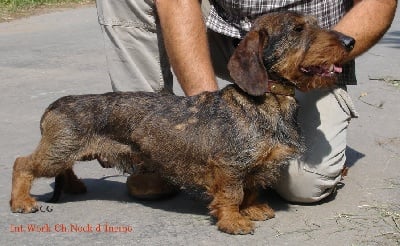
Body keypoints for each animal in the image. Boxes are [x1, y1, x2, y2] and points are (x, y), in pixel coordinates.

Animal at [9, 12, 354, 234]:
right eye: (297, 29)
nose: (350, 41)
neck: (267, 100)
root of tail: (56, 104)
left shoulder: (254, 166)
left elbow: (252, 189)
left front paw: (253, 208)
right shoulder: (229, 166)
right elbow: (232, 195)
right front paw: (234, 221)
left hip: (64, 152)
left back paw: (74, 185)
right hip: (57, 152)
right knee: (22, 164)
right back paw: (22, 201)